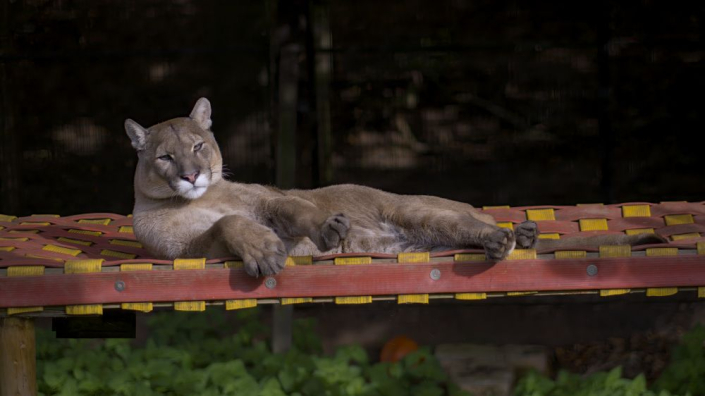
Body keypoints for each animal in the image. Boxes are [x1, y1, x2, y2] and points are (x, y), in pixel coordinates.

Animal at [125, 97, 664, 276]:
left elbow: (297, 210)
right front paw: (261, 249)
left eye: (199, 145)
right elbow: (229, 225)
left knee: (474, 223)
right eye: (165, 157)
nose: (191, 175)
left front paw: (328, 228)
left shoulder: (274, 199)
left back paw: (508, 236)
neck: (201, 199)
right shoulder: (189, 249)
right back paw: (518, 237)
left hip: (417, 211)